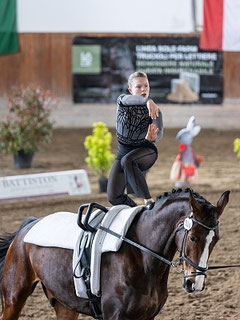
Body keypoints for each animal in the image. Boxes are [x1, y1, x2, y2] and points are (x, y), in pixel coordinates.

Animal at [0, 189, 229, 318]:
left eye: (216, 239)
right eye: (193, 238)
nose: (195, 283)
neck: (142, 257)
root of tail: (28, 226)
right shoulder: (114, 315)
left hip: (65, 306)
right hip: (14, 298)